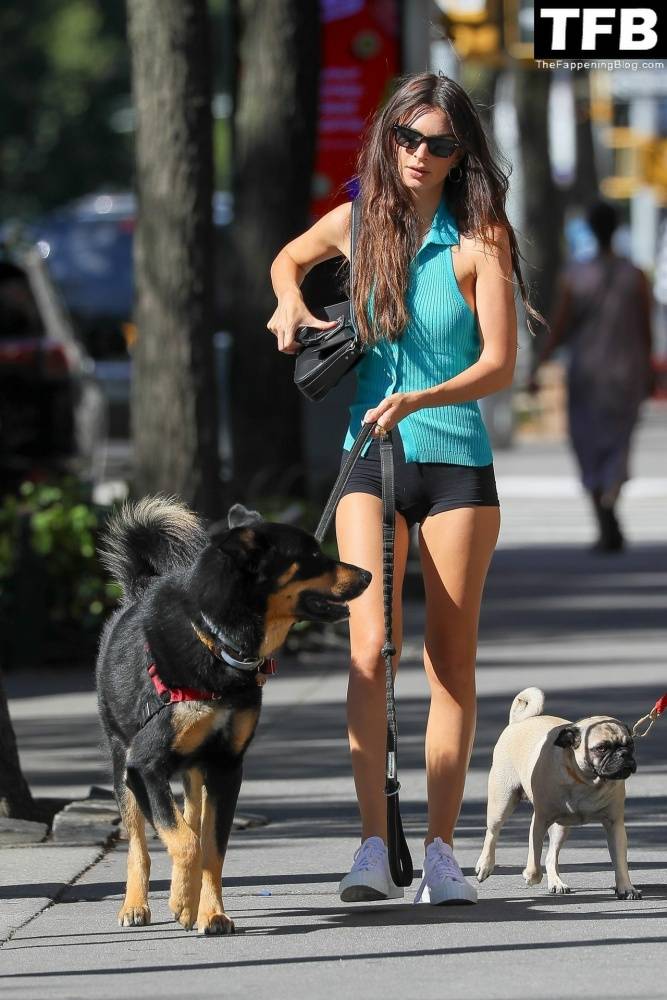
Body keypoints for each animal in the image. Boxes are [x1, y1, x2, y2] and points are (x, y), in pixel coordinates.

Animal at [96, 500, 370, 936]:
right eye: (312, 556)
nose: (368, 575)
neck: (216, 642)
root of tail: (137, 591)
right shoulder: (146, 765)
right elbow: (185, 842)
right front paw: (182, 900)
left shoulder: (226, 768)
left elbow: (210, 847)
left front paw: (208, 912)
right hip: (123, 764)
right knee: (140, 841)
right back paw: (136, 905)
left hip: (194, 770)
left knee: (191, 815)